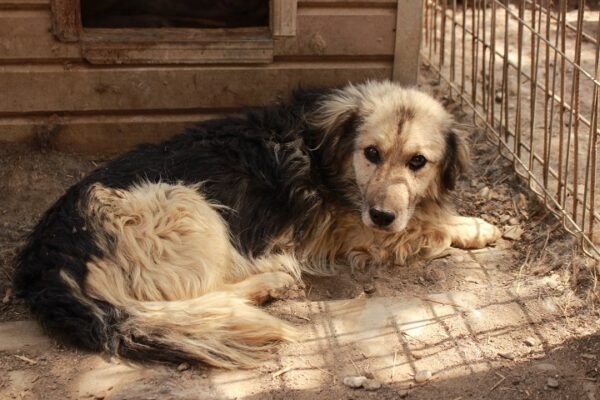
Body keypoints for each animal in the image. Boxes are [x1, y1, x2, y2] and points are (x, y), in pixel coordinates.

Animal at [15, 80, 502, 368]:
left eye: (418, 161)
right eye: (371, 153)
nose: (383, 215)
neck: (328, 151)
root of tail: (50, 261)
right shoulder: (351, 231)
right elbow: (429, 228)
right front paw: (472, 226)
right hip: (183, 203)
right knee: (200, 295)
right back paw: (271, 280)